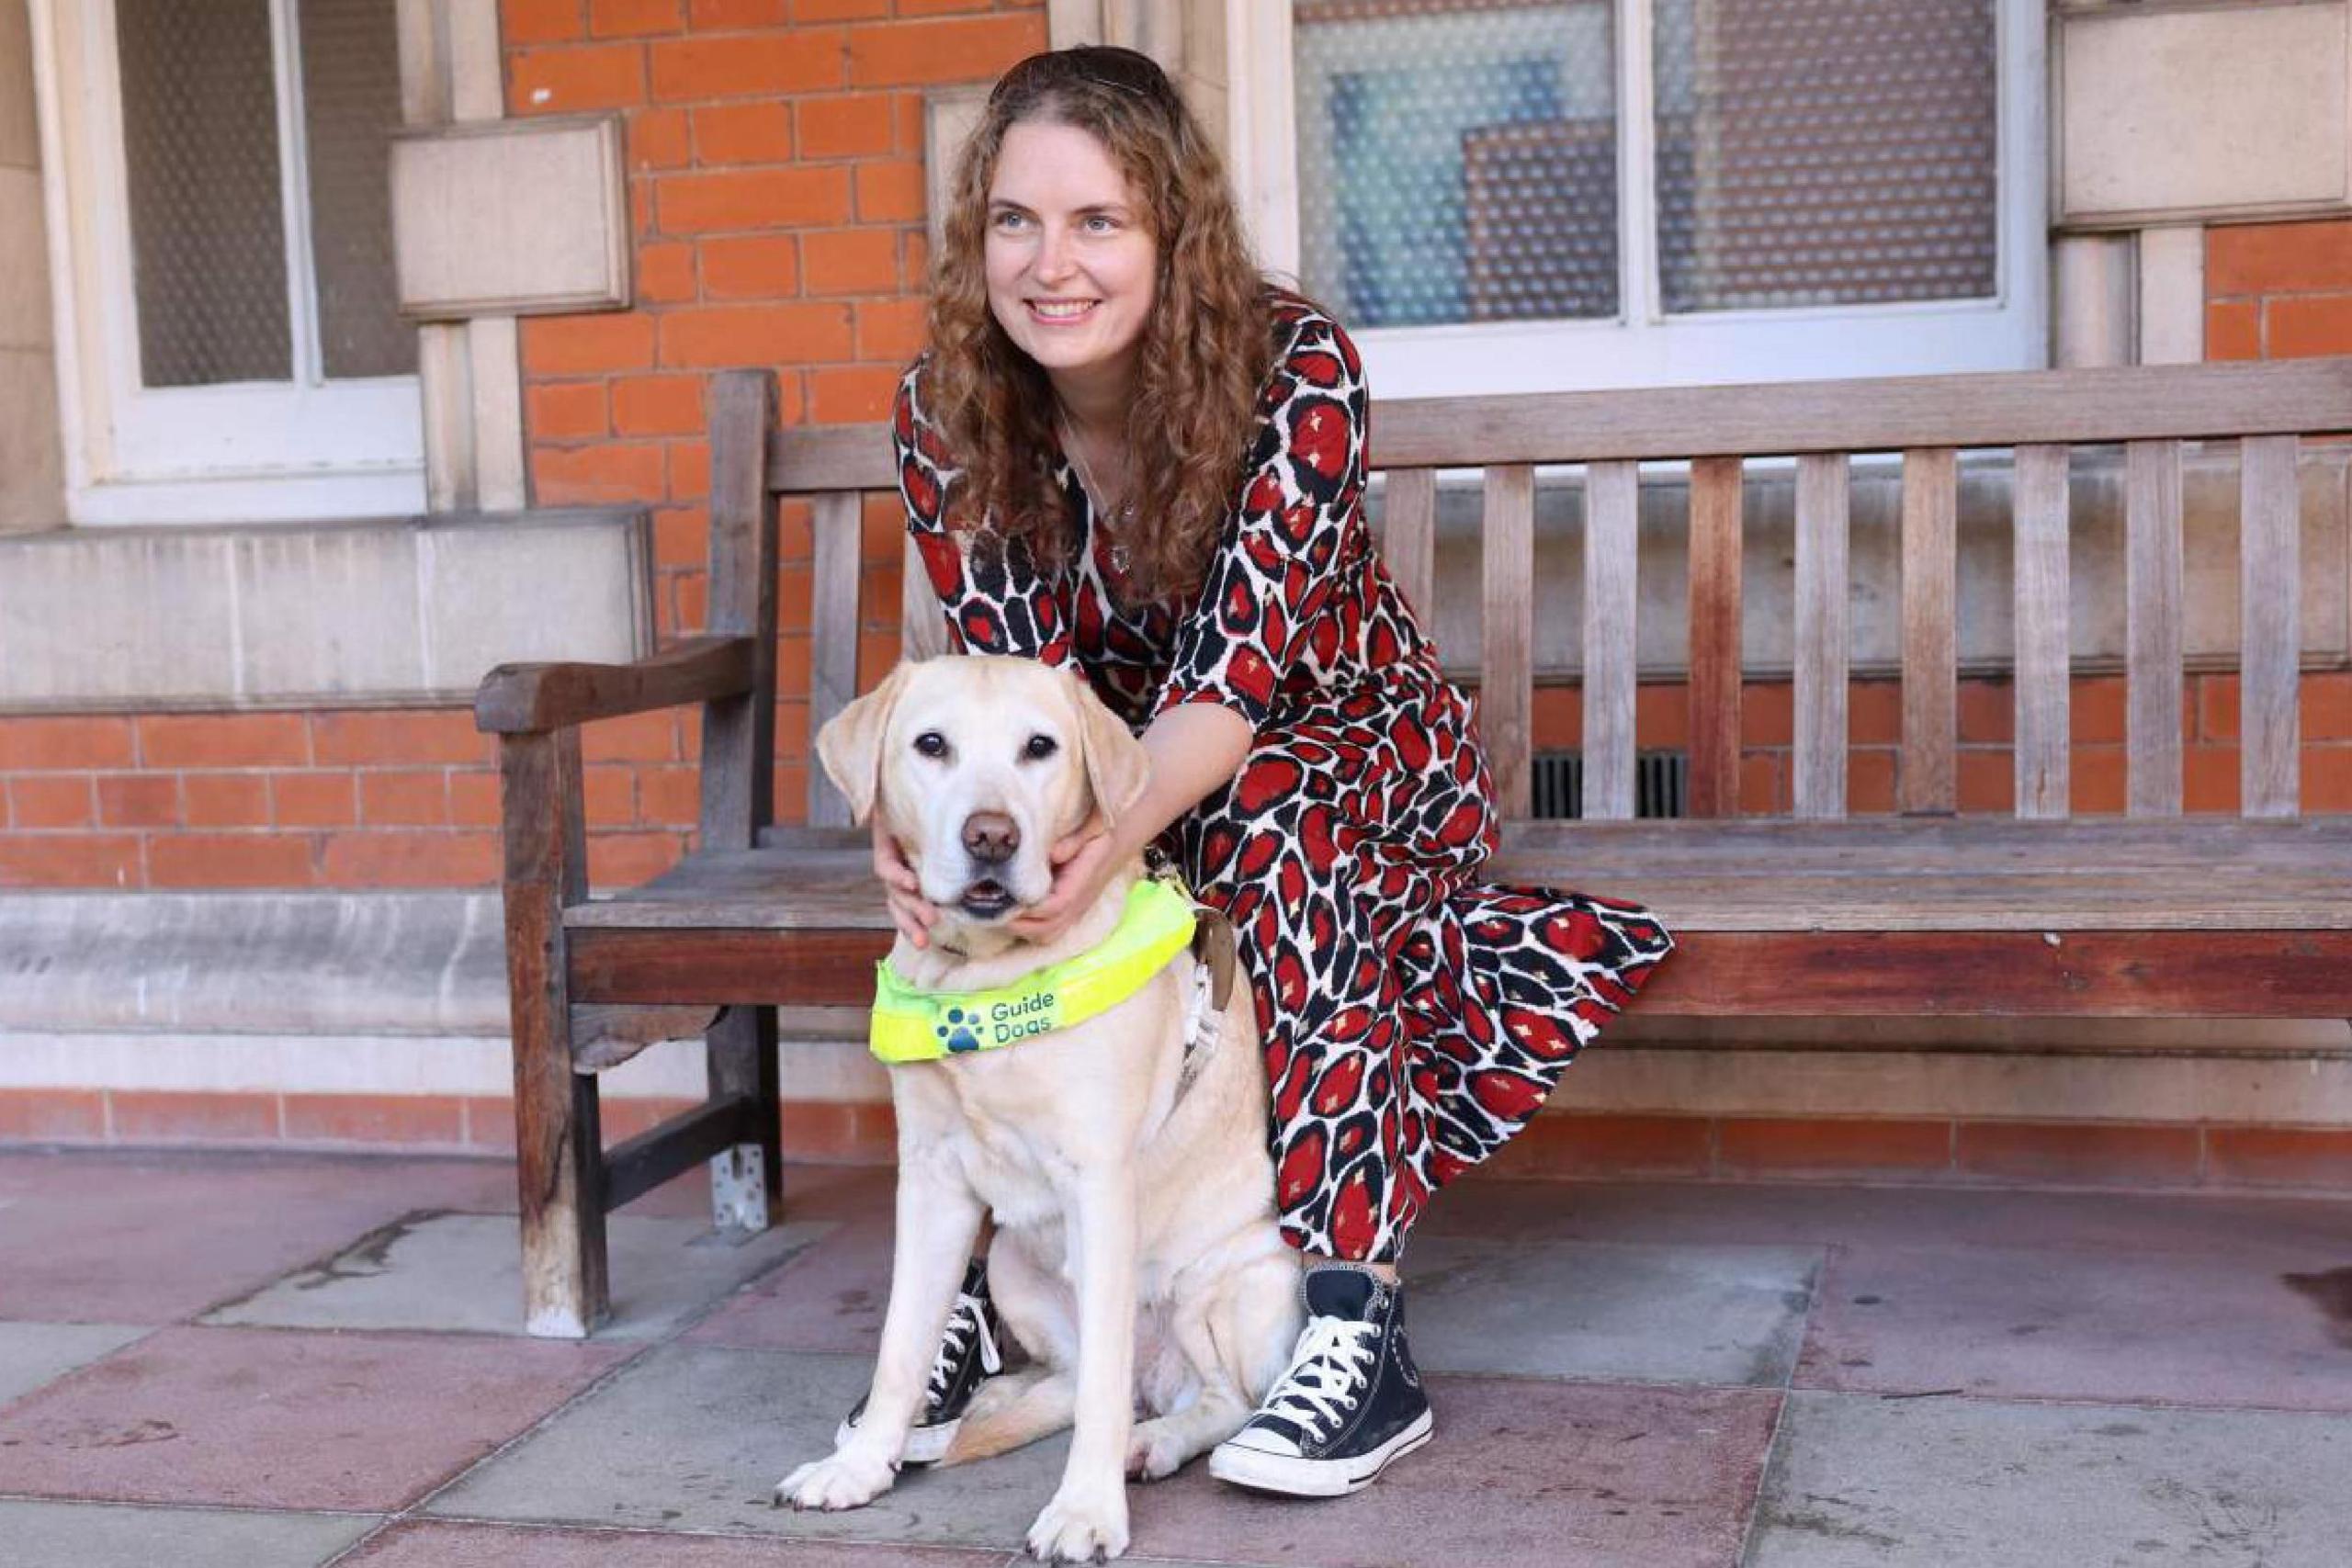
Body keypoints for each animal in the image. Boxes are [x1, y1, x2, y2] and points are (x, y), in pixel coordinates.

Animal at [786, 658, 1307, 1561]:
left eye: (1040, 747)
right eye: (932, 745)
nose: (991, 836)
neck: (983, 982)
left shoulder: (1098, 1179)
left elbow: (1100, 1390)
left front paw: (1086, 1510)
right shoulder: (930, 1179)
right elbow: (899, 1343)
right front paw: (859, 1464)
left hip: (1228, 1280)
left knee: (1204, 1398)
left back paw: (1150, 1443)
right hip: (1013, 1266)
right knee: (1081, 1380)